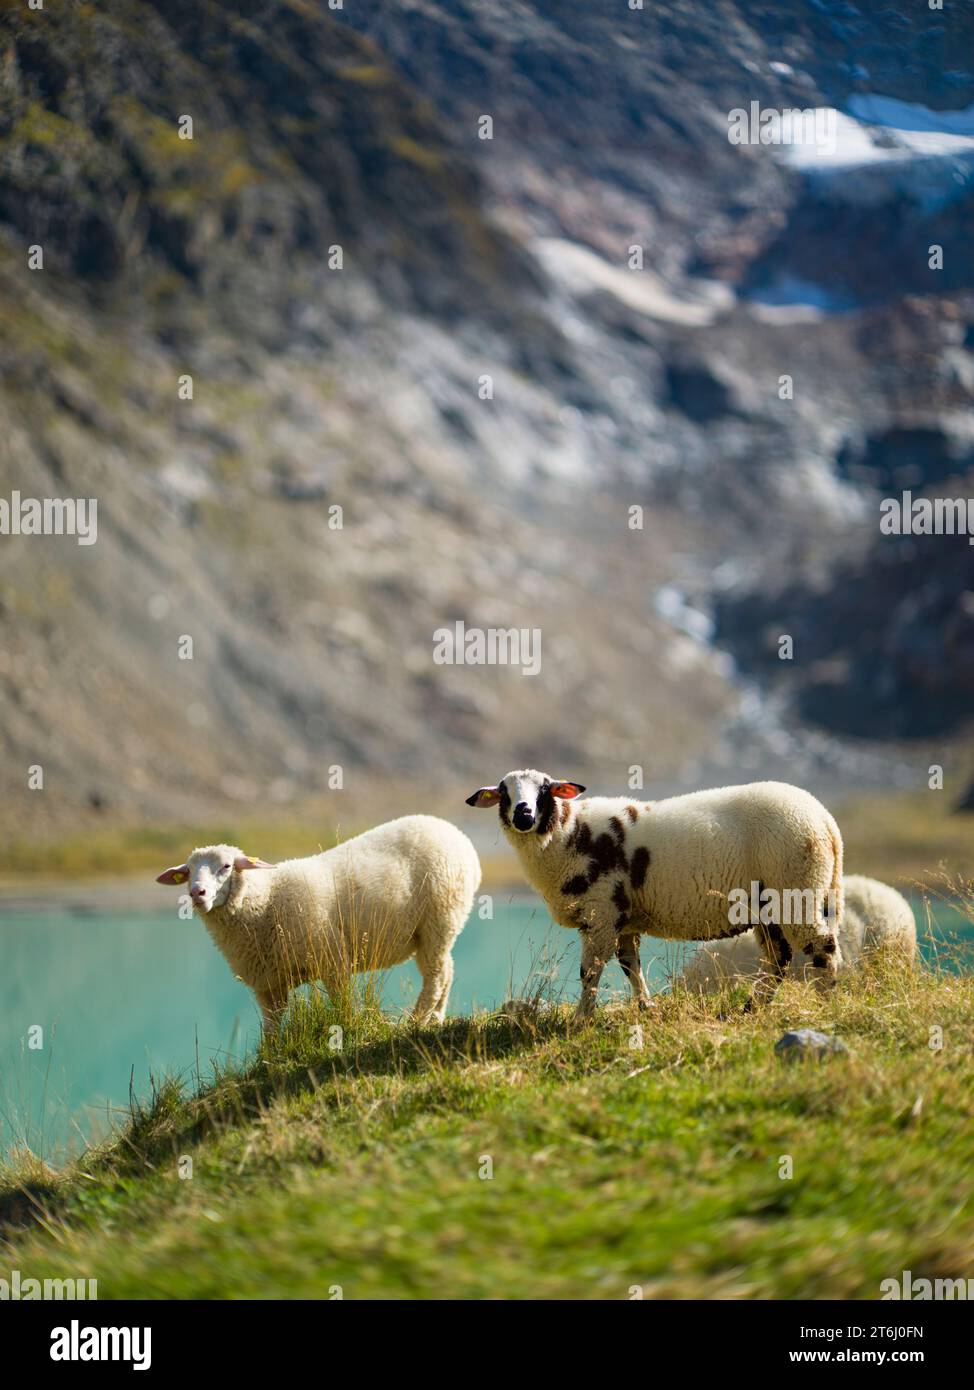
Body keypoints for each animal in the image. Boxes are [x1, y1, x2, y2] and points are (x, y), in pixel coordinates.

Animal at [155, 815, 480, 1030]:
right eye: (187, 872)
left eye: (226, 866)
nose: (197, 893)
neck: (267, 898)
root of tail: (458, 835)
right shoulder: (268, 984)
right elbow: (272, 1028)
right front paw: (268, 1057)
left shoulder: (332, 960)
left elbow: (341, 1004)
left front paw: (347, 1027)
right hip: (433, 931)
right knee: (446, 971)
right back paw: (435, 1018)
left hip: (440, 918)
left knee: (436, 976)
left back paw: (414, 1020)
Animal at [466, 770, 843, 1021]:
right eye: (504, 792)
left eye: (545, 789)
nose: (524, 814)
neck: (568, 834)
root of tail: (826, 821)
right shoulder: (622, 917)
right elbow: (629, 964)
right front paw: (646, 1007)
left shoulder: (601, 912)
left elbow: (590, 970)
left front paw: (580, 1020)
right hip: (770, 903)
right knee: (779, 959)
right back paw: (752, 1007)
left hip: (797, 889)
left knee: (821, 948)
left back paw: (827, 1005)